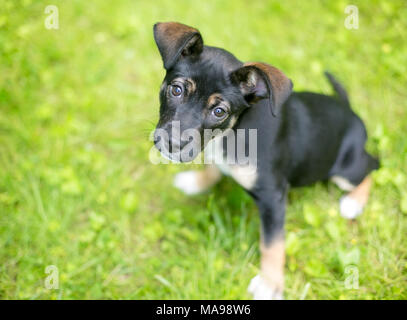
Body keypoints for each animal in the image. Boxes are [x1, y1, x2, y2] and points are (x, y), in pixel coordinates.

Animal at [152, 21, 380, 298]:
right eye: (176, 90)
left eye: (219, 111)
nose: (173, 144)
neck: (232, 131)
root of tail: (351, 112)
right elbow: (212, 165)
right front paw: (197, 182)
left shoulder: (273, 197)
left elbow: (272, 245)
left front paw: (269, 284)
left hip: (346, 168)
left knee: (372, 166)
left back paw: (353, 202)